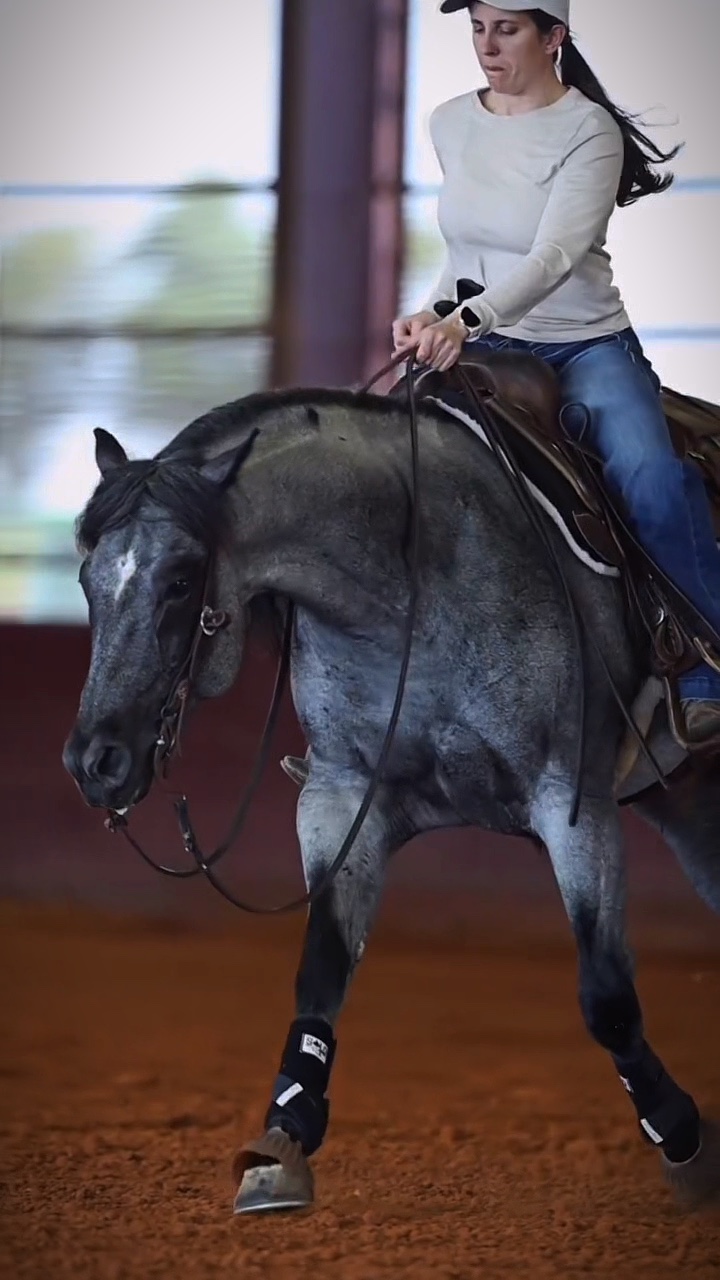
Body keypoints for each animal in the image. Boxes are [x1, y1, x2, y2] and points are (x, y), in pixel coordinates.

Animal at [61, 379, 720, 1217]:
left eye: (180, 580)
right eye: (88, 581)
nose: (94, 761)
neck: (414, 576)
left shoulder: (572, 803)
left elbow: (607, 995)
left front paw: (684, 1142)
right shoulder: (342, 799)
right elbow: (322, 971)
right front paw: (281, 1145)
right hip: (688, 802)